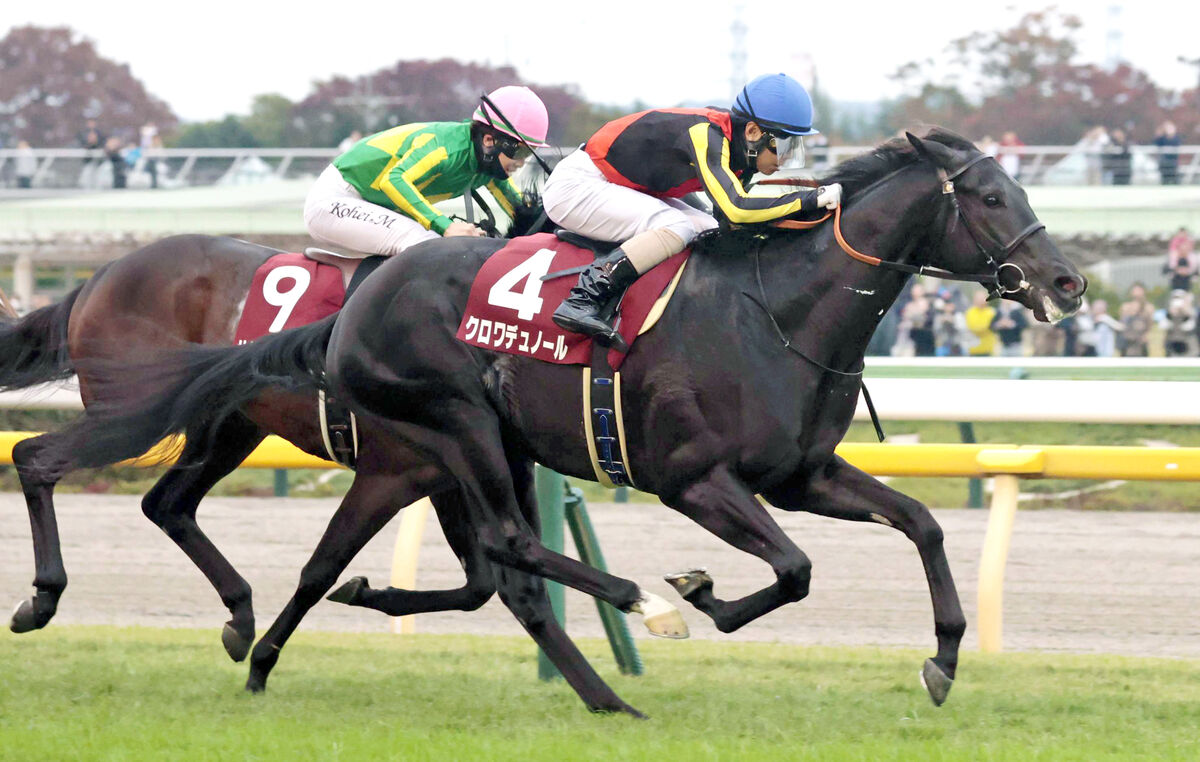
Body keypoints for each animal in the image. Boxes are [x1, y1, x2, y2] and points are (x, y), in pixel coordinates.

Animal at [30, 129, 1089, 715]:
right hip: (448, 424)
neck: (776, 311)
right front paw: (697, 594)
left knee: (181, 506)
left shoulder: (800, 474)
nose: (1067, 281)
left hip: (270, 431)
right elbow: (791, 569)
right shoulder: (694, 478)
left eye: (1020, 189)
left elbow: (921, 524)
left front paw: (943, 659)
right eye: (989, 196)